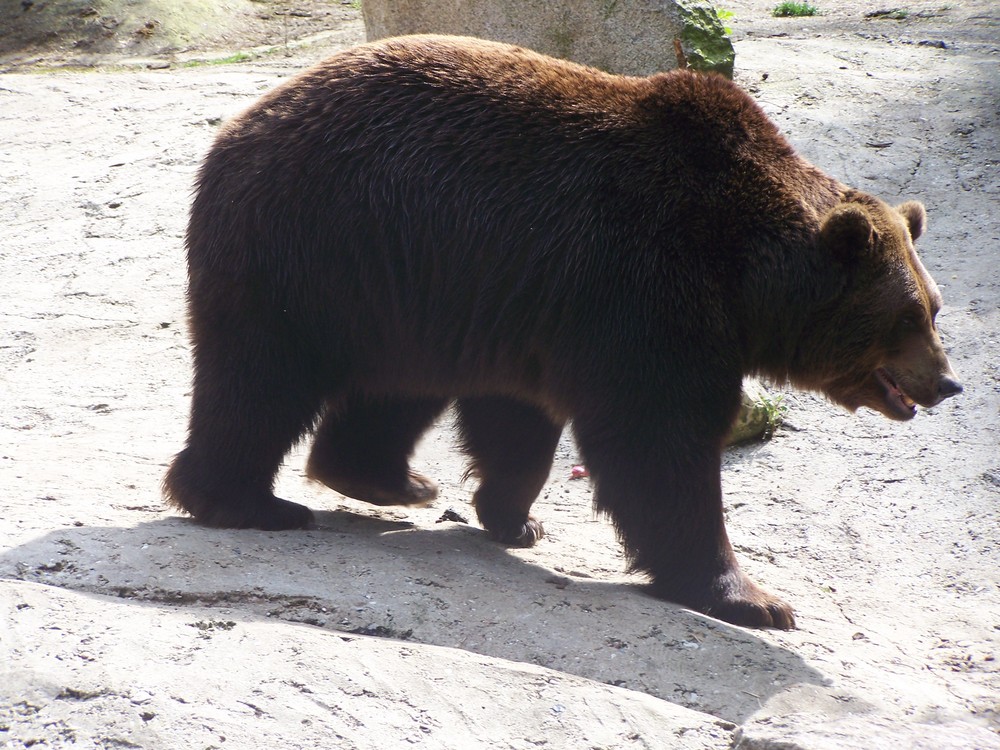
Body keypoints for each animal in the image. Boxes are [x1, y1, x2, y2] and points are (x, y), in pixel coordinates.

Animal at [164, 36, 960, 636]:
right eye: (908, 316)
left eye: (934, 307)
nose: (946, 381)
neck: (745, 270)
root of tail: (238, 127)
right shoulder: (643, 282)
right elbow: (657, 440)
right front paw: (753, 597)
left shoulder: (534, 302)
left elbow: (519, 419)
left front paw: (514, 519)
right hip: (317, 248)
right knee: (263, 377)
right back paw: (248, 502)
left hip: (406, 290)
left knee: (394, 387)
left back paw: (391, 479)